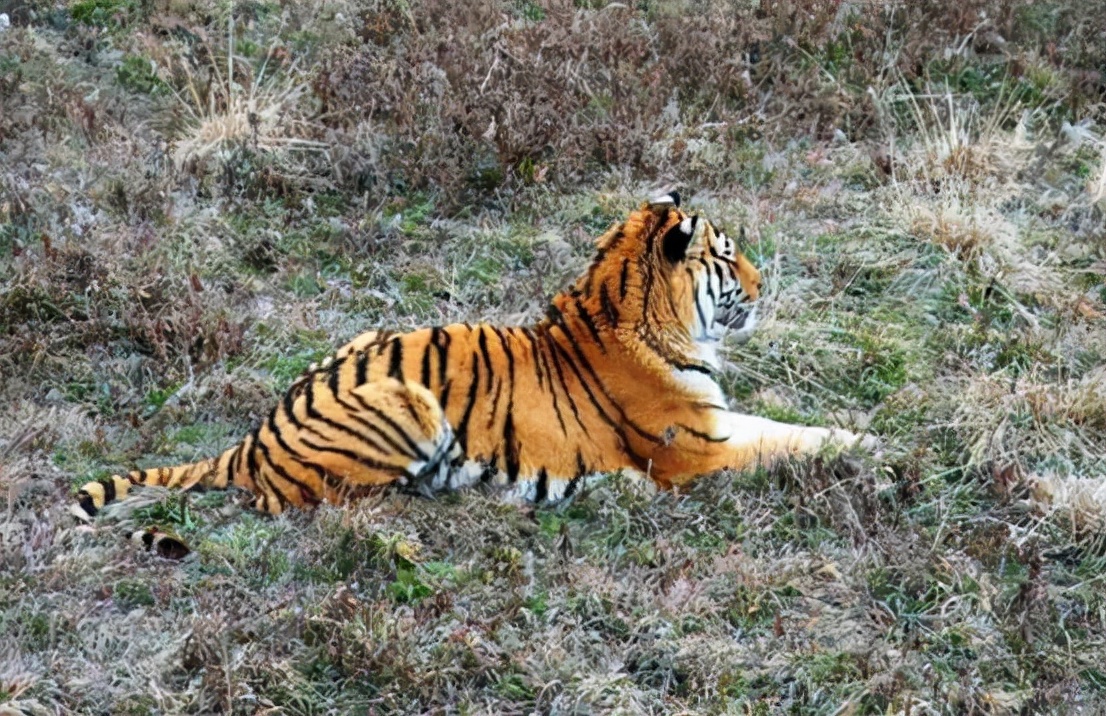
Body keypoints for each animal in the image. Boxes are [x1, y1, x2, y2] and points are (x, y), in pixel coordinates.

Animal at [75, 191, 871, 555]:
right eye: (729, 257)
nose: (765, 286)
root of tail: (250, 439)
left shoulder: (717, 424)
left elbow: (784, 424)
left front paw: (857, 426)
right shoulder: (697, 449)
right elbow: (783, 440)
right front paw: (871, 446)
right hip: (407, 403)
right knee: (328, 504)